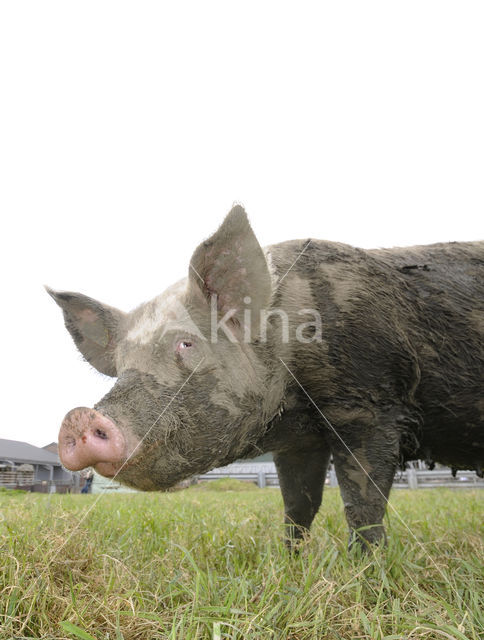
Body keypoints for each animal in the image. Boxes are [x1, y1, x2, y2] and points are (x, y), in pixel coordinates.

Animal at [48, 208, 484, 548]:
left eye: (186, 344)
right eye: (122, 364)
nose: (77, 417)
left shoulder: (371, 406)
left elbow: (363, 505)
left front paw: (366, 570)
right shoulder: (300, 440)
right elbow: (298, 506)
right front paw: (291, 560)